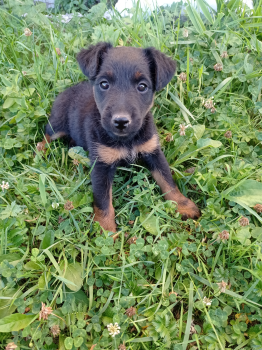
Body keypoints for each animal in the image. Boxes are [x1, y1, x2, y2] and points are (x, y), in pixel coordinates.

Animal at [42, 41, 201, 232]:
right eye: (104, 84)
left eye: (142, 86)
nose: (121, 121)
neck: (127, 139)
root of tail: (66, 91)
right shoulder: (101, 165)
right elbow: (103, 202)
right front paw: (106, 231)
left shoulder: (153, 152)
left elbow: (167, 182)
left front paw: (183, 205)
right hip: (57, 125)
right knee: (46, 133)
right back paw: (40, 152)